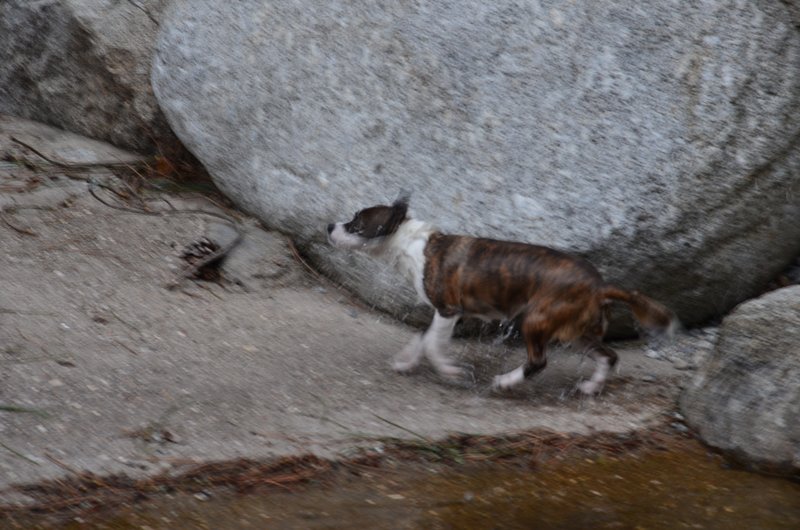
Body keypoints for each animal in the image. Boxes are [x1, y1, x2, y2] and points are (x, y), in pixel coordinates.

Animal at [326, 194, 676, 392]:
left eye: (356, 223)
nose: (330, 226)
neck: (415, 243)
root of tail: (599, 285)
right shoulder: (447, 314)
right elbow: (424, 340)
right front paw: (407, 361)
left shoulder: (448, 309)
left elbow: (433, 345)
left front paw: (448, 370)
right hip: (577, 331)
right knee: (609, 356)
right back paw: (590, 387)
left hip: (536, 320)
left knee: (538, 361)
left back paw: (506, 382)